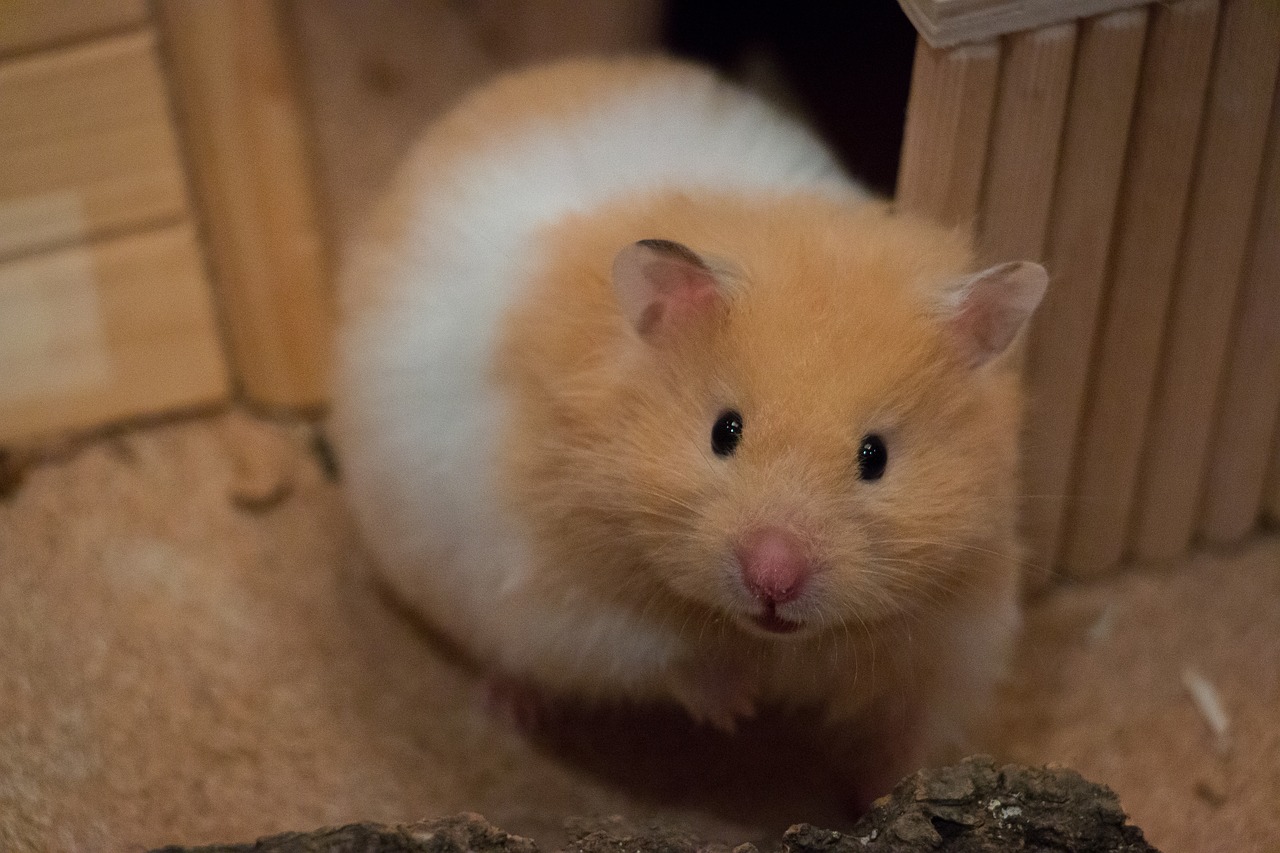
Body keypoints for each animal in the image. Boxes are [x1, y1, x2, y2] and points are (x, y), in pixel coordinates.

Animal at [329, 57, 1047, 805]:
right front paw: (739, 707)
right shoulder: (563, 602)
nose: (773, 576)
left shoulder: (954, 635)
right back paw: (512, 706)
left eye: (874, 456)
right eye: (723, 432)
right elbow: (659, 653)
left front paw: (889, 790)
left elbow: (905, 729)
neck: (774, 639)